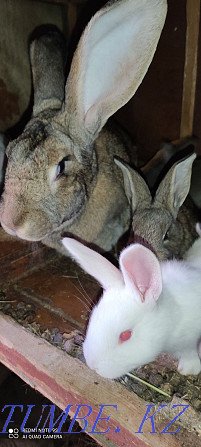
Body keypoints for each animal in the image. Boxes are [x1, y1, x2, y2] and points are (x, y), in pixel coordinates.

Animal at [62, 231, 201, 382]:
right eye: (91, 319)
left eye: (125, 335)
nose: (93, 366)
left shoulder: (188, 340)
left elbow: (189, 352)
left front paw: (190, 369)